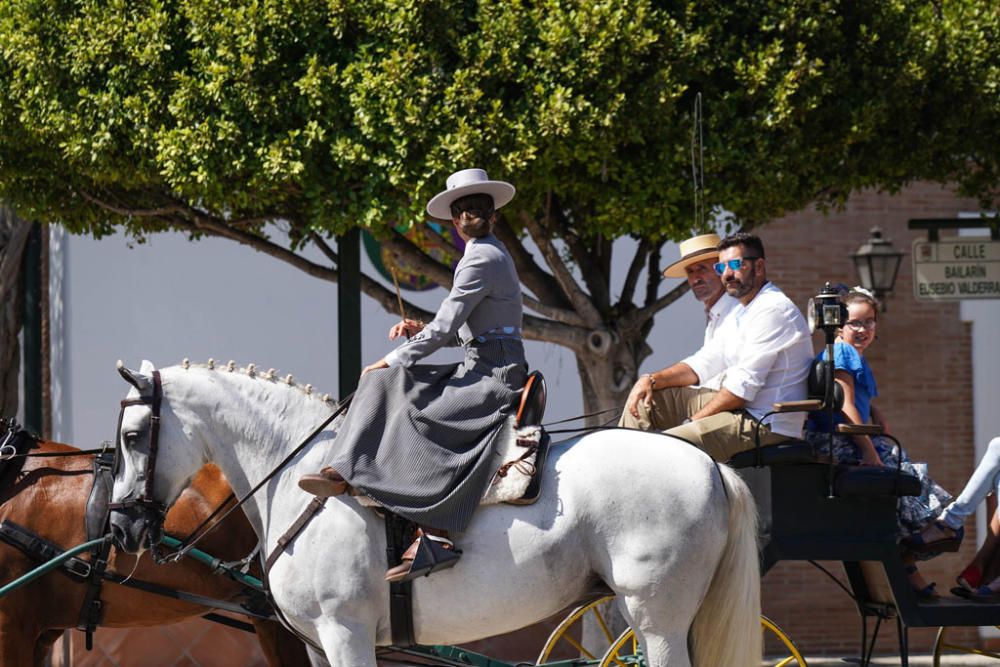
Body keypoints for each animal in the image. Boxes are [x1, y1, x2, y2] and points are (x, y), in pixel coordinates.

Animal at [107, 362, 756, 664]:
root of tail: (707, 464)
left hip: (657, 615)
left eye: (134, 436)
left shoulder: (345, 633)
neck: (300, 475)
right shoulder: (318, 644)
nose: (121, 527)